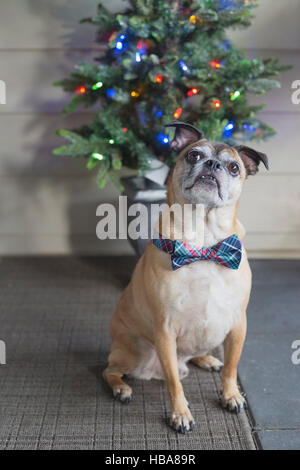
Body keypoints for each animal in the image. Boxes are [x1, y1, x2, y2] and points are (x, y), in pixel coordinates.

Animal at [102, 121, 268, 434]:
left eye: (234, 167)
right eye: (194, 155)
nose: (213, 164)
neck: (204, 245)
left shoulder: (238, 325)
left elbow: (232, 368)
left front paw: (231, 395)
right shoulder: (165, 330)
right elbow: (174, 383)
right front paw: (180, 414)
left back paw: (208, 359)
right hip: (136, 349)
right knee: (109, 370)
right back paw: (120, 389)